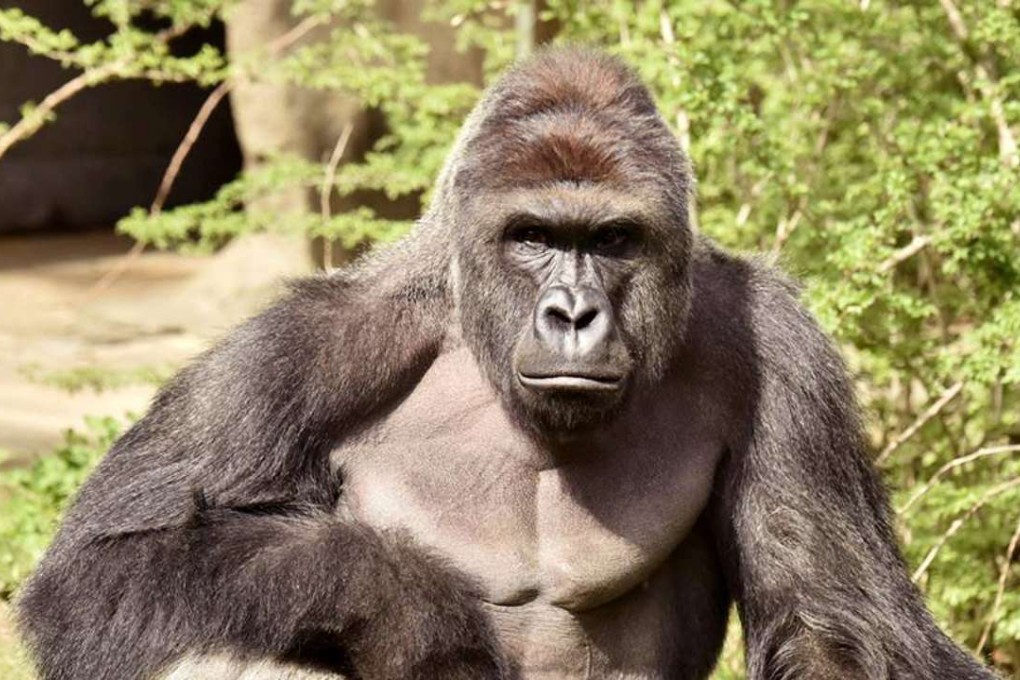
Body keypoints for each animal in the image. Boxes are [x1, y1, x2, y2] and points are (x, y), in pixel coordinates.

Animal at [16, 48, 995, 680]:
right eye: (533, 236)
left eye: (612, 239)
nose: (573, 314)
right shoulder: (299, 350)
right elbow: (103, 567)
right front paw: (404, 600)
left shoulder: (782, 355)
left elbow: (835, 626)